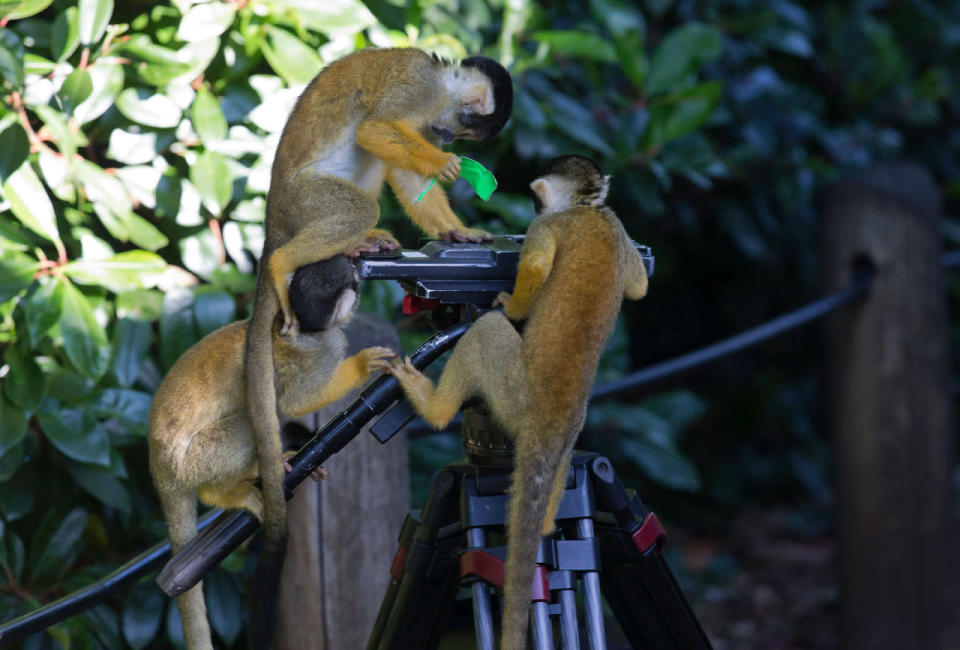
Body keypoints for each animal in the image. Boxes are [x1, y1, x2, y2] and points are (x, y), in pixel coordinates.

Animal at [150, 254, 390, 648]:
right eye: (353, 283)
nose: (361, 280)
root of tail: (159, 471)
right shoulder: (324, 348)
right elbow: (297, 402)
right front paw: (361, 365)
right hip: (191, 463)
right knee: (248, 428)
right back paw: (223, 493)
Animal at [249, 48, 516, 592]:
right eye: (464, 128)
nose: (448, 140)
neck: (442, 81)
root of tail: (273, 222)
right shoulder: (419, 90)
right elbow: (375, 128)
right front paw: (442, 164)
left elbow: (407, 178)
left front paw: (458, 232)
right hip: (306, 201)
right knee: (354, 191)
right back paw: (289, 262)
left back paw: (361, 242)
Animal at [386, 154, 648, 644]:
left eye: (534, 200)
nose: (531, 208)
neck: (585, 208)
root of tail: (551, 415)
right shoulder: (616, 224)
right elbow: (638, 285)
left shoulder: (547, 227)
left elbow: (538, 267)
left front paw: (510, 302)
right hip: (567, 434)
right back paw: (545, 523)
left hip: (514, 396)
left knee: (485, 329)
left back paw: (435, 407)